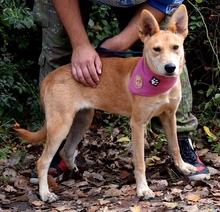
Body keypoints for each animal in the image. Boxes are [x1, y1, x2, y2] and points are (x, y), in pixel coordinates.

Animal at [16, 4, 197, 203]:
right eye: (156, 49)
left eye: (176, 47)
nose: (170, 68)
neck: (159, 82)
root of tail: (50, 77)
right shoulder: (137, 124)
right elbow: (140, 162)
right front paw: (143, 189)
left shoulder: (169, 116)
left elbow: (175, 146)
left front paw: (182, 167)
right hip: (61, 125)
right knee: (43, 161)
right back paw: (45, 193)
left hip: (82, 120)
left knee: (66, 151)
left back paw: (77, 173)